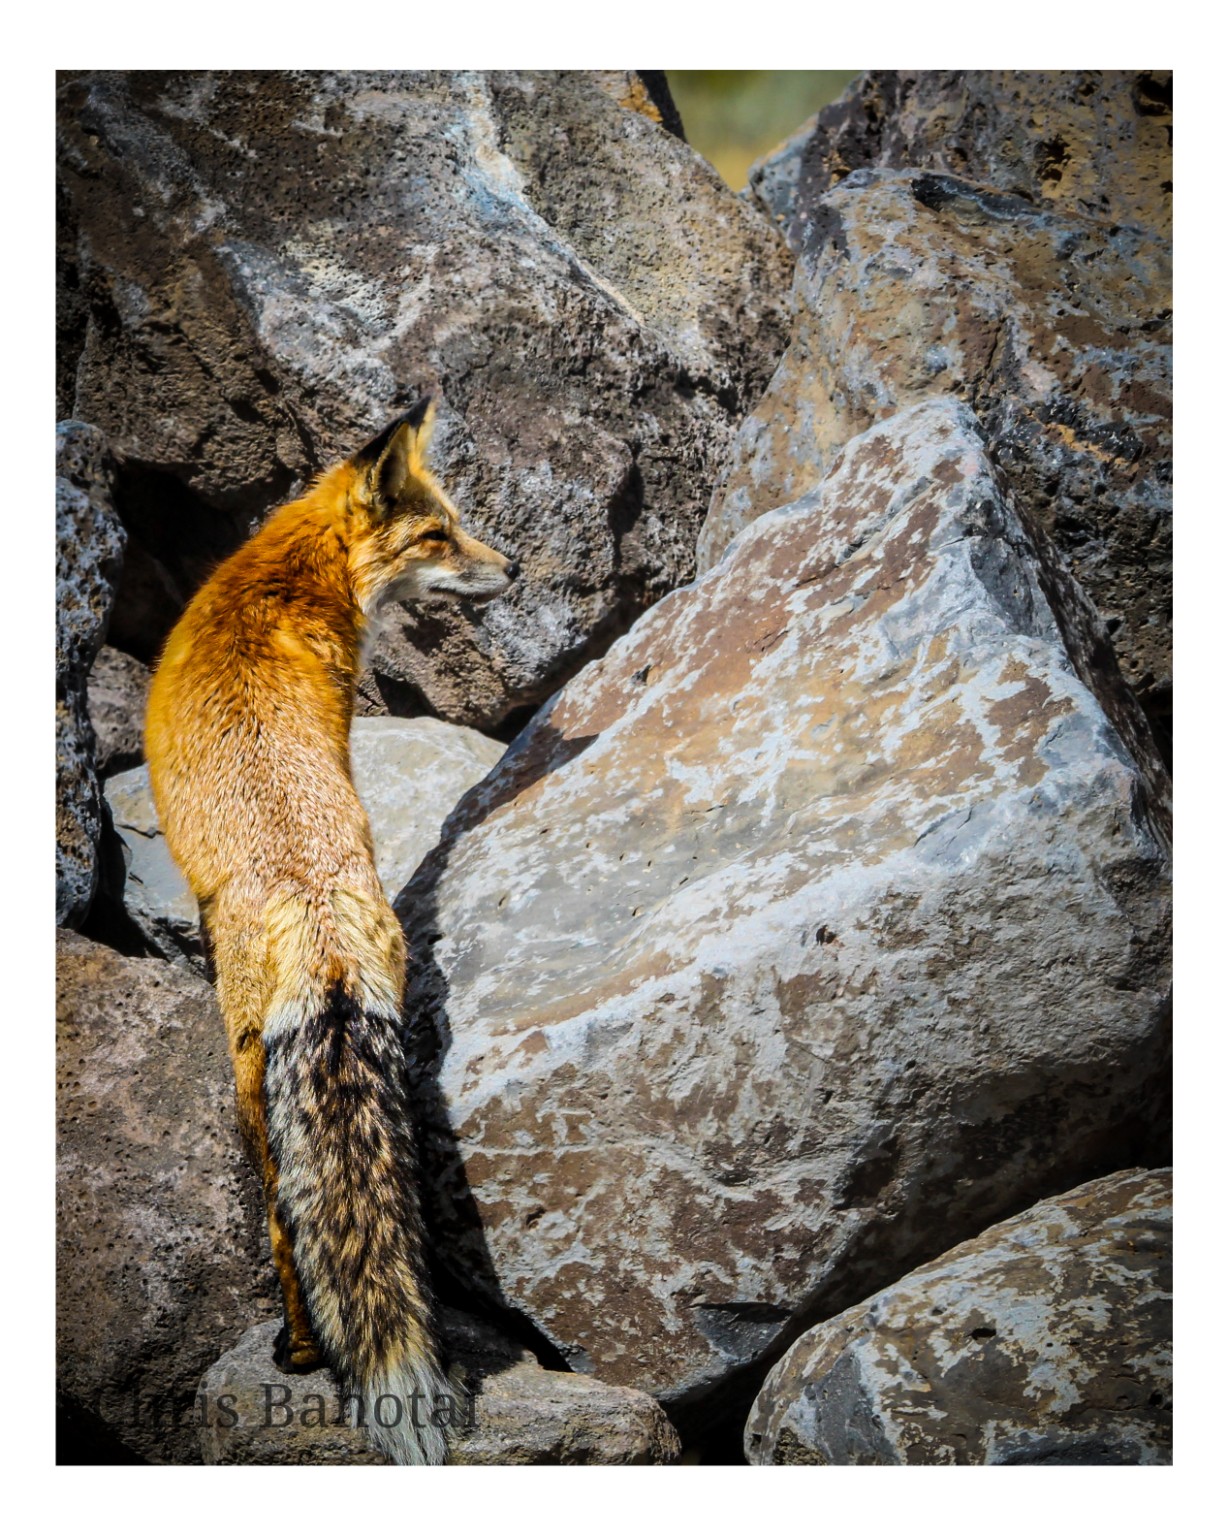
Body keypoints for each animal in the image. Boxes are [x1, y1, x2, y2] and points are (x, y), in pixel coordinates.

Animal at [145, 397, 518, 1464]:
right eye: (440, 535)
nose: (516, 567)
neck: (281, 577)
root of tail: (321, 924)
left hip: (248, 1089)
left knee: (285, 1225)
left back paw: (304, 1354)